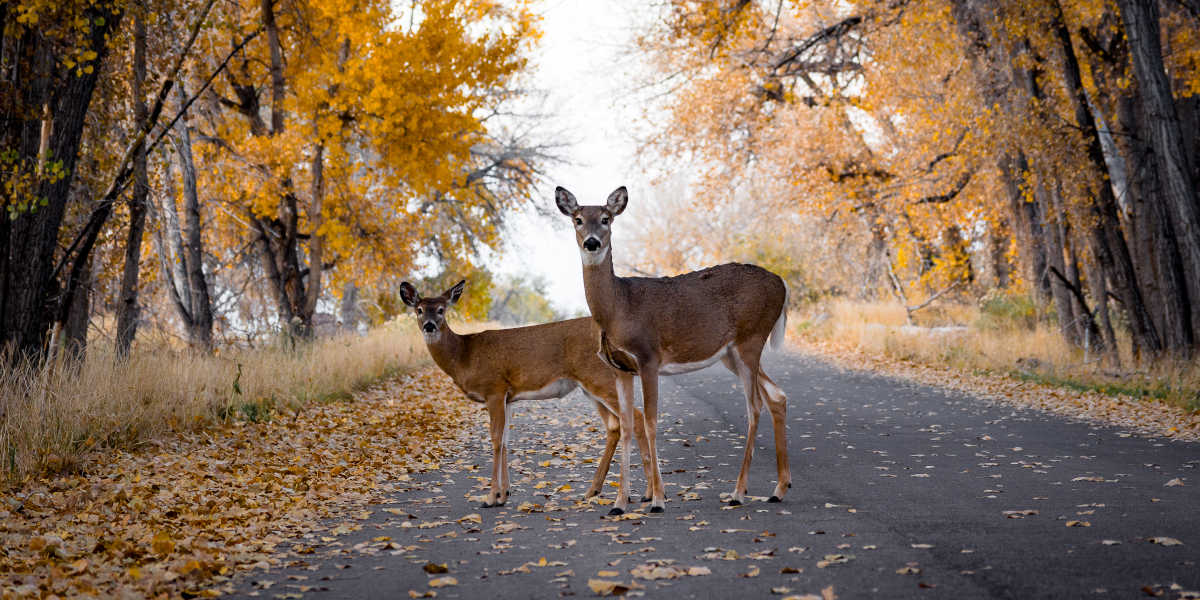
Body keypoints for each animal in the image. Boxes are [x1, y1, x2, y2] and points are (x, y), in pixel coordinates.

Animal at [398, 278, 652, 508]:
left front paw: (491, 497)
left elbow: (495, 439)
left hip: (600, 378)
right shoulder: (509, 397)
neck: (464, 356)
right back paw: (593, 491)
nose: (429, 325)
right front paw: (504, 494)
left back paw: (647, 494)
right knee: (614, 425)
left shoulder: (494, 389)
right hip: (589, 386)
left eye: (441, 310)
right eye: (419, 310)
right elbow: (505, 441)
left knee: (636, 418)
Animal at [556, 186, 792, 516]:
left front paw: (657, 499)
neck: (619, 307)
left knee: (754, 406)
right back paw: (778, 490)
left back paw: (738, 493)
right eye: (577, 219)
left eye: (606, 218)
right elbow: (627, 425)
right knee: (777, 395)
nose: (592, 242)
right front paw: (619, 504)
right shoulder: (620, 368)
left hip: (751, 338)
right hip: (730, 354)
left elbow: (651, 422)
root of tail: (782, 283)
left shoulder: (648, 358)